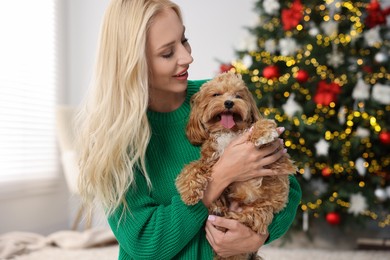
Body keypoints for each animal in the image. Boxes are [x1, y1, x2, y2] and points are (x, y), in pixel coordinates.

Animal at [175, 71, 298, 260]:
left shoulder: (276, 155)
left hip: (261, 209)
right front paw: (189, 191)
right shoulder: (212, 160)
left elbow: (259, 126)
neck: (228, 132)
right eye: (216, 95)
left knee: (250, 220)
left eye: (238, 96)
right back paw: (218, 209)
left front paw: (263, 132)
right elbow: (192, 167)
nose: (229, 102)